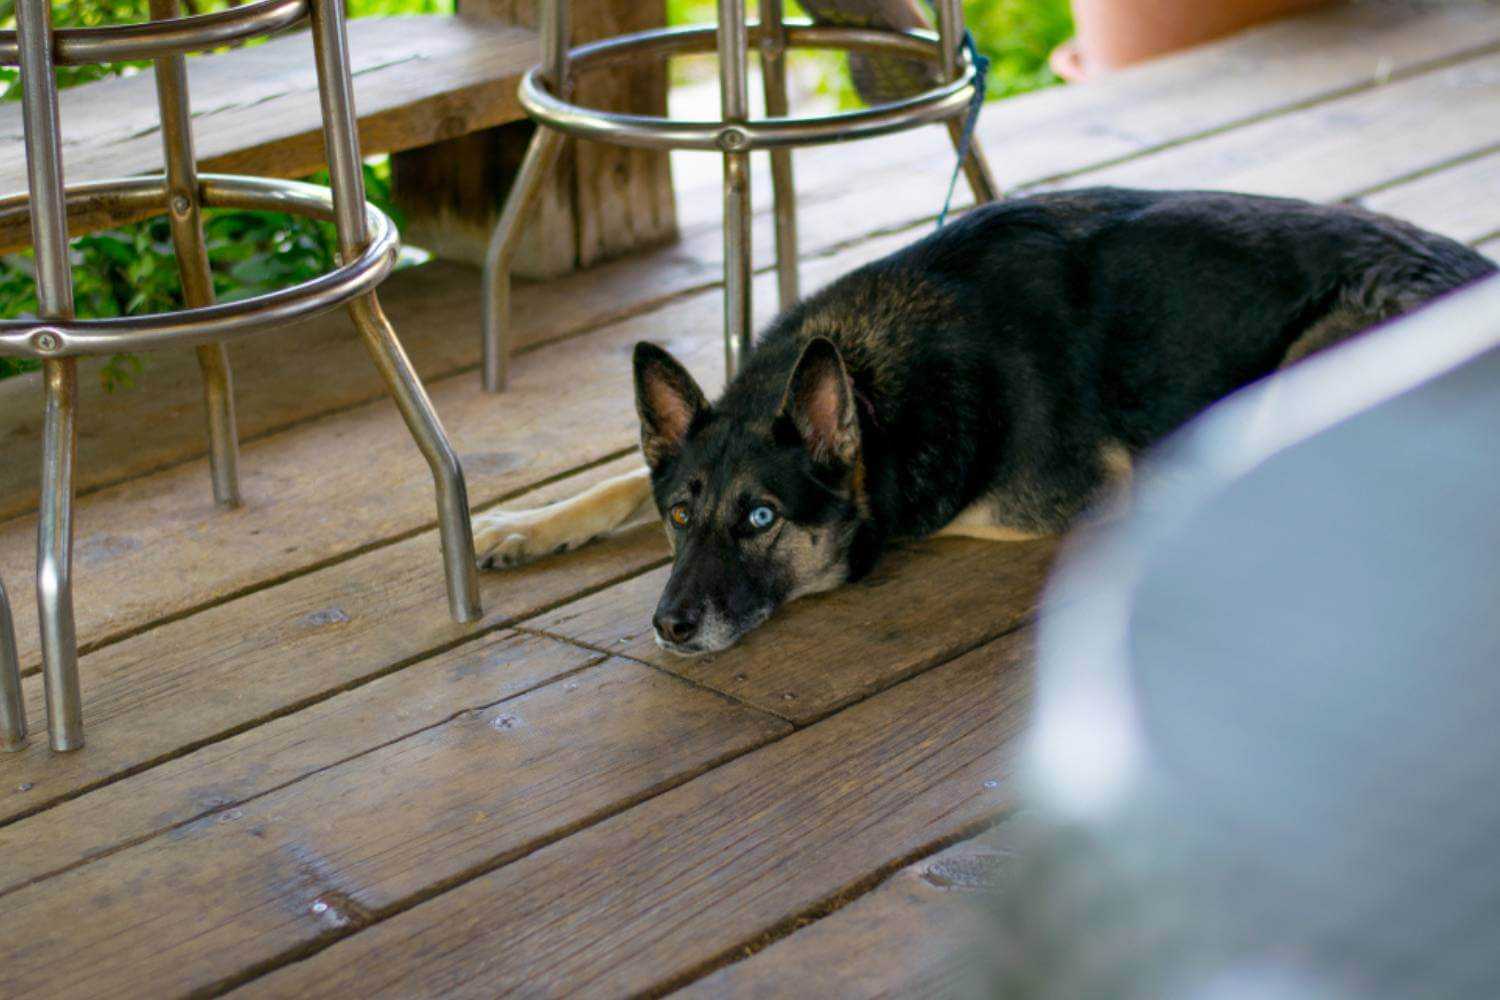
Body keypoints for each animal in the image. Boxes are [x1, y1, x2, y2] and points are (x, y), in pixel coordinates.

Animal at [474, 187, 1494, 656]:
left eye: (760, 519)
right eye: (680, 518)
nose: (670, 626)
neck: (876, 383)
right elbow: (614, 478)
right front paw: (526, 524)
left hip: (1311, 356)